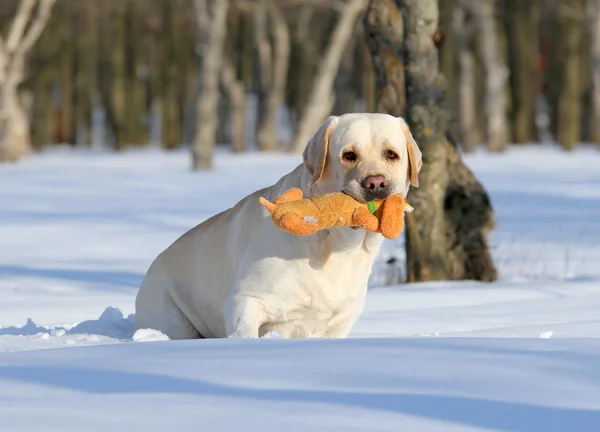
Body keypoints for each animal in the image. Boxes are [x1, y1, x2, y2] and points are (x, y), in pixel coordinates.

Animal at [132, 113, 422, 340]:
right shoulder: (245, 302)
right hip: (171, 317)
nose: (376, 183)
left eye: (392, 154)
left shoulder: (339, 323)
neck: (334, 244)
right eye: (349, 155)